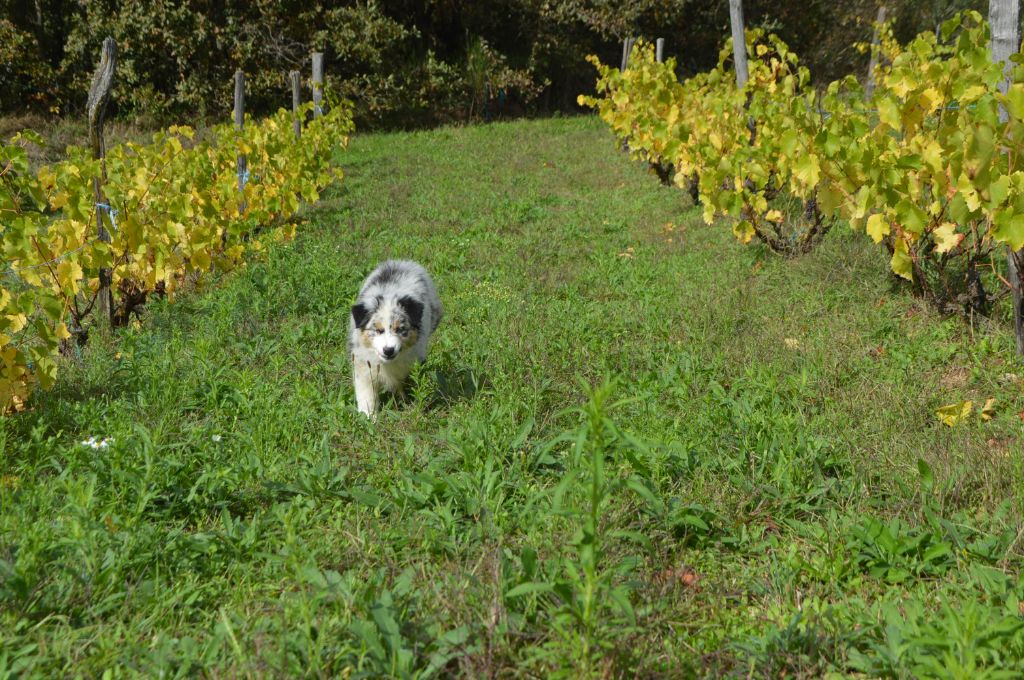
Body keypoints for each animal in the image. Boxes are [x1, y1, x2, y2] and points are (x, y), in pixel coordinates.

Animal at [350, 260, 442, 417]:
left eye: (400, 329)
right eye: (378, 330)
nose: (388, 350)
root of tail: (401, 262)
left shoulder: (415, 361)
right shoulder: (363, 365)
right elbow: (366, 395)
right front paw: (368, 417)